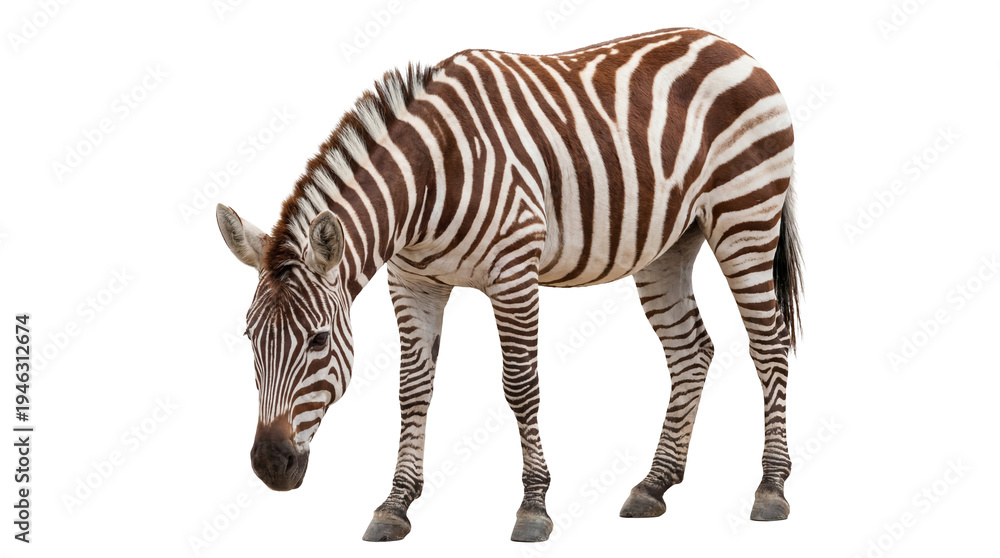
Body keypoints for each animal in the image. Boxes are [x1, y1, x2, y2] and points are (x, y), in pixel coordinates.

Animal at [216, 27, 802, 542]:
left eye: (317, 341)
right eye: (249, 340)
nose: (270, 467)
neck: (428, 179)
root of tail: (731, 46)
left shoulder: (514, 271)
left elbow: (520, 386)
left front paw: (534, 506)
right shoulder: (412, 282)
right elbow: (413, 391)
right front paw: (396, 504)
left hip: (745, 217)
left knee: (769, 345)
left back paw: (771, 487)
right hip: (669, 244)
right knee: (691, 351)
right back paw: (654, 485)